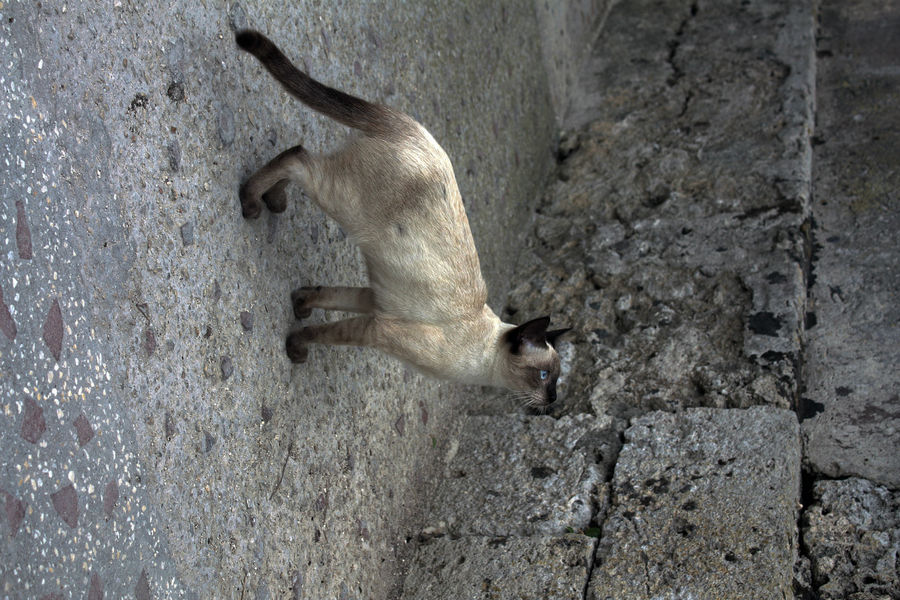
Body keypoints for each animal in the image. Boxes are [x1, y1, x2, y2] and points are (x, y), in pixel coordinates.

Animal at [236, 32, 568, 408]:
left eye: (556, 379)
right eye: (543, 376)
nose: (554, 399)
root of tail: (413, 129)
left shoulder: (376, 302)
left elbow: (326, 296)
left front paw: (301, 304)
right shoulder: (377, 330)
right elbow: (320, 333)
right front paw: (295, 349)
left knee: (295, 157)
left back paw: (274, 203)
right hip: (341, 198)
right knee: (297, 157)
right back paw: (252, 203)